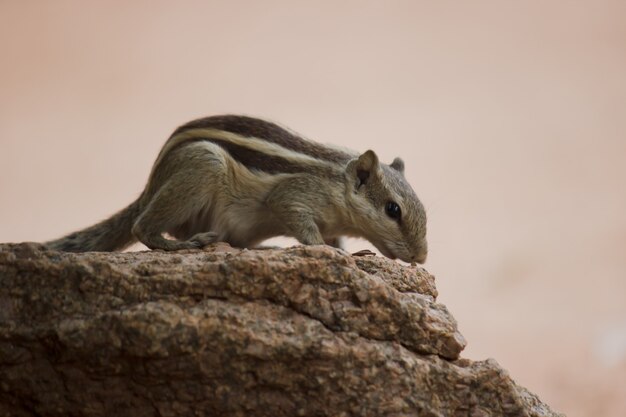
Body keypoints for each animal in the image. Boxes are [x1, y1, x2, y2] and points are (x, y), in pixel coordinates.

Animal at [44, 114, 426, 262]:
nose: (421, 258)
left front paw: (349, 251)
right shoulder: (295, 196)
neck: (337, 180)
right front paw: (341, 255)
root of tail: (150, 187)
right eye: (393, 210)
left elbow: (334, 238)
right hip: (203, 166)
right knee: (143, 227)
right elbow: (306, 228)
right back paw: (182, 245)